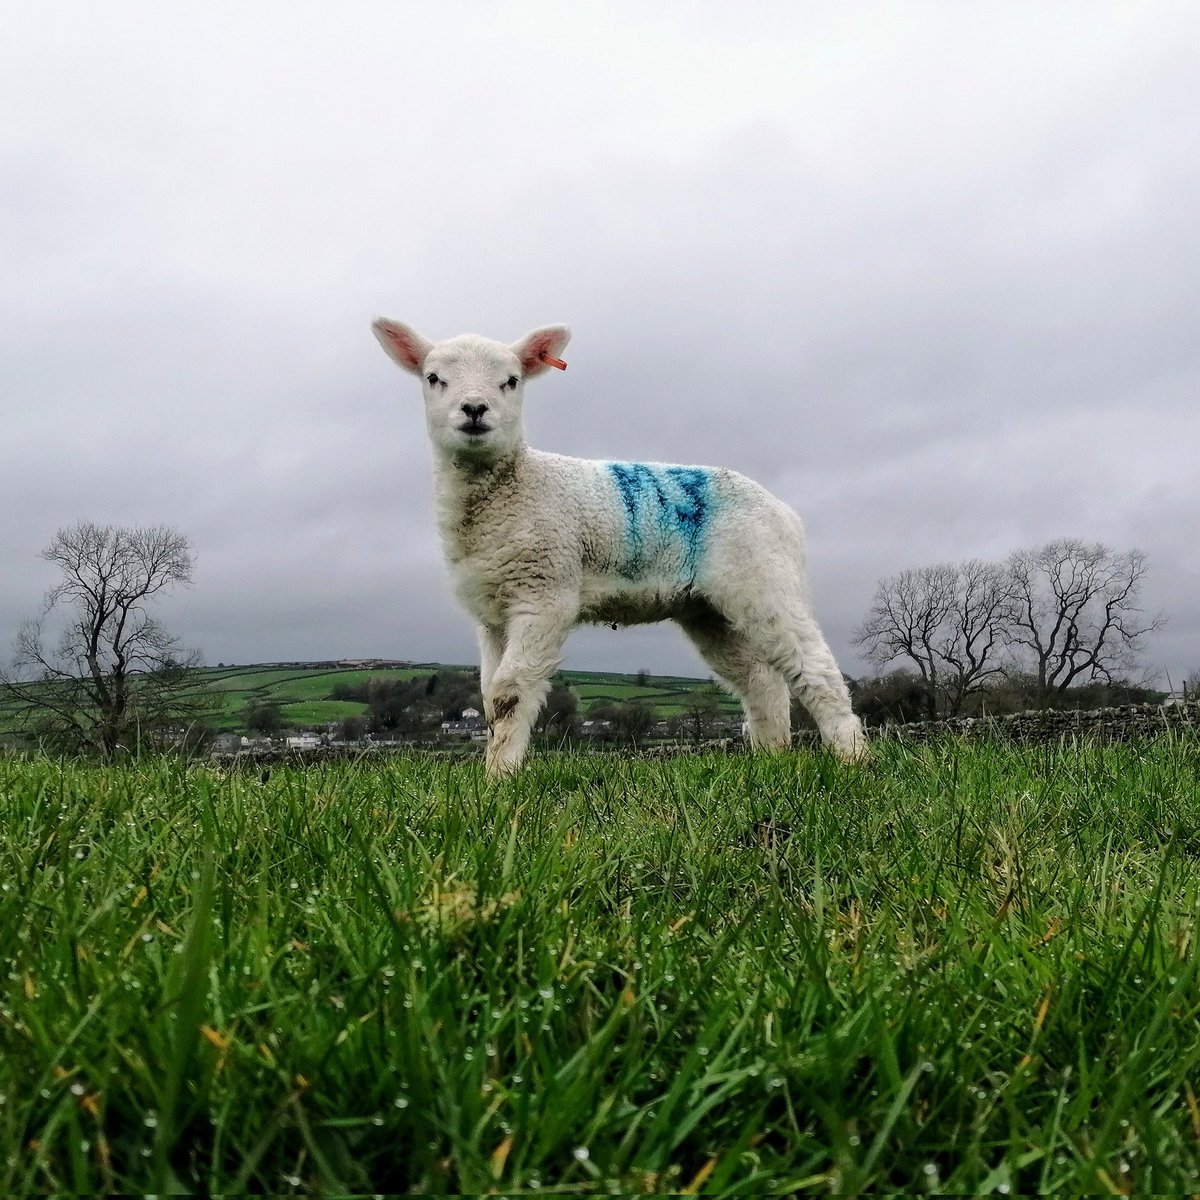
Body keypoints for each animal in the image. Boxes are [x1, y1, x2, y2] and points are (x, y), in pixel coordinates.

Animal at [369, 321, 868, 777]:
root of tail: (786, 513)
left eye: (511, 381)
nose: (475, 409)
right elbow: (490, 697)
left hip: (762, 576)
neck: (515, 488)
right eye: (434, 378)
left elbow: (509, 693)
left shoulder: (544, 592)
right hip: (707, 609)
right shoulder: (493, 613)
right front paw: (492, 776)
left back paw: (852, 757)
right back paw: (772, 760)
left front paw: (501, 779)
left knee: (815, 666)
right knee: (761, 681)